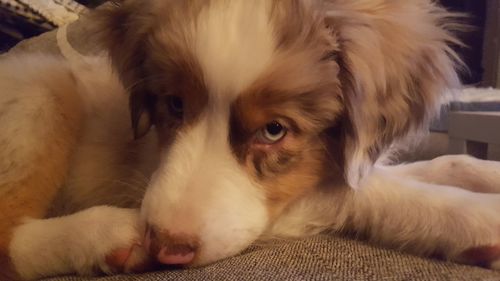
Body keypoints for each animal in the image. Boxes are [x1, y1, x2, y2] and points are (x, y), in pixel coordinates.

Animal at [0, 0, 500, 278]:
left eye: (273, 130)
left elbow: (434, 165)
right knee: (10, 241)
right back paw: (106, 236)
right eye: (174, 104)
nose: (167, 247)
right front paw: (480, 218)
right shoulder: (278, 210)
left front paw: (482, 173)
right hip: (43, 87)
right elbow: (367, 193)